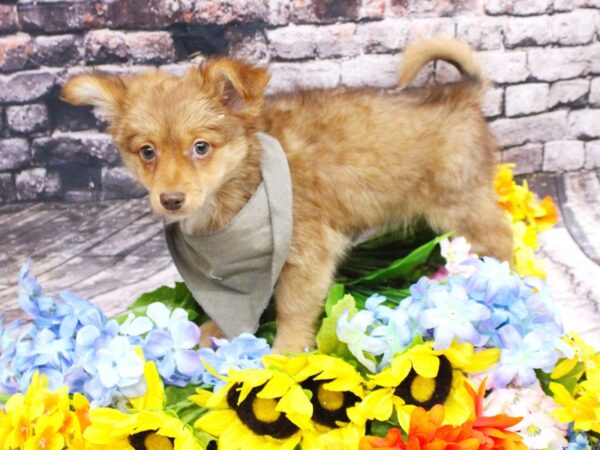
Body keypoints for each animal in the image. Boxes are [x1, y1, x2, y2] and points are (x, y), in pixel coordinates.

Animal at [59, 38, 510, 354]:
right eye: (147, 152)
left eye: (201, 147)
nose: (170, 199)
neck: (243, 182)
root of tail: (461, 93)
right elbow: (242, 305)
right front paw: (215, 332)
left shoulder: (309, 254)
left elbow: (292, 310)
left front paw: (284, 356)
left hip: (462, 205)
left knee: (504, 239)